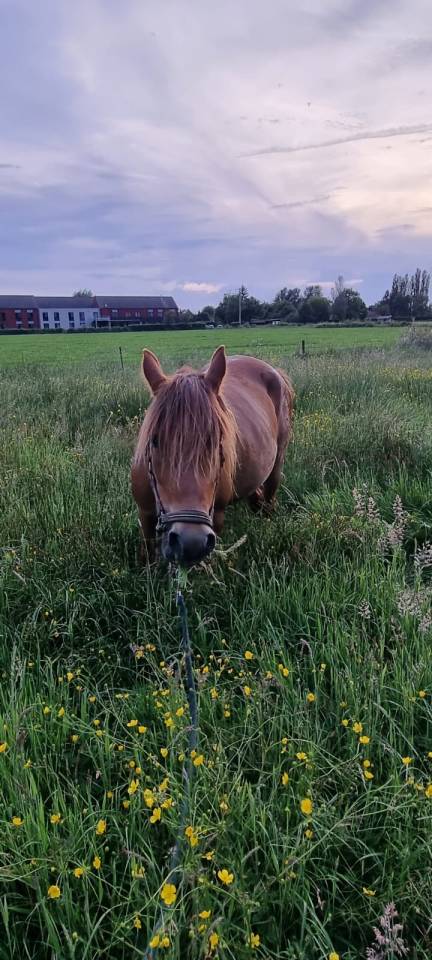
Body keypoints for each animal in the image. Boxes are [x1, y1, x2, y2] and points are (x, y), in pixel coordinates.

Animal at [131, 345, 294, 565]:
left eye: (217, 441)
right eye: (155, 441)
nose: (190, 541)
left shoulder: (216, 516)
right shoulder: (145, 514)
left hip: (276, 465)